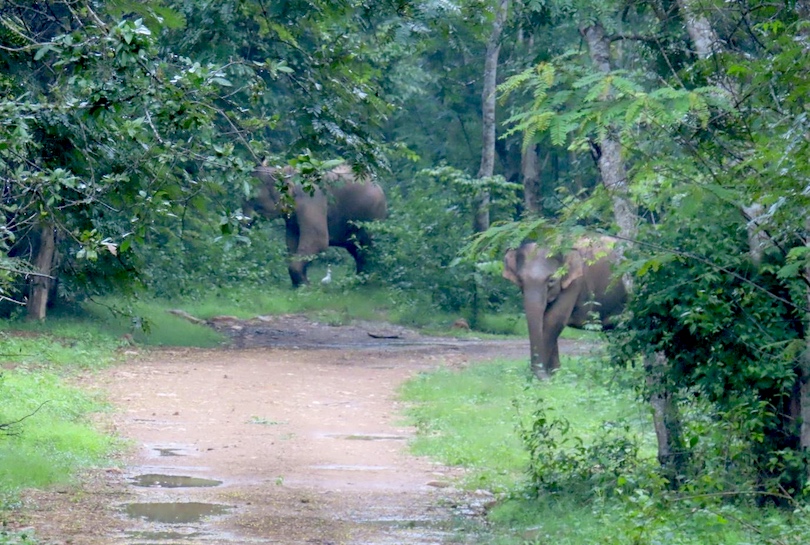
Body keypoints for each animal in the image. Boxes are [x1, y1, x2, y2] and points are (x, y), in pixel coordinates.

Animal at [241, 164, 386, 286]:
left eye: (253, 199)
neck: (287, 172)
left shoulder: (312, 199)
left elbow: (318, 240)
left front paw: (305, 286)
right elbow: (292, 241)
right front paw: (301, 284)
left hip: (373, 216)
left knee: (367, 248)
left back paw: (367, 282)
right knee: (357, 250)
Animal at [498, 236, 624, 380]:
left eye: (551, 280)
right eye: (520, 280)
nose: (543, 377)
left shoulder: (575, 282)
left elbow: (553, 319)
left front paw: (547, 377)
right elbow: (547, 321)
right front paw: (555, 375)